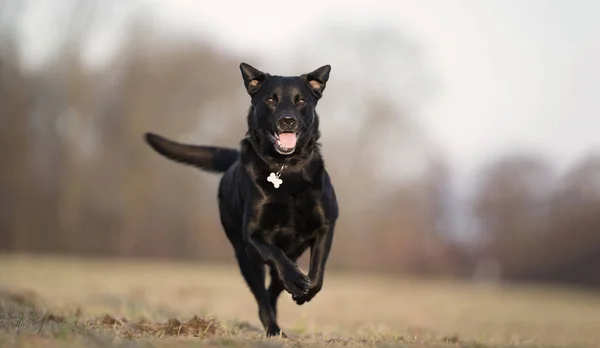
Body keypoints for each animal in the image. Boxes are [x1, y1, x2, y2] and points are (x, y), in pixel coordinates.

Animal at [144, 62, 338, 338]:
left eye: (301, 100)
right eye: (271, 99)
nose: (287, 120)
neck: (285, 168)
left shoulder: (326, 225)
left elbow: (317, 274)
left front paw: (303, 290)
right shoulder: (253, 235)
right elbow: (276, 256)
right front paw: (297, 281)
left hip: (291, 249)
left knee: (273, 289)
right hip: (245, 257)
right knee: (262, 296)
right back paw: (273, 328)